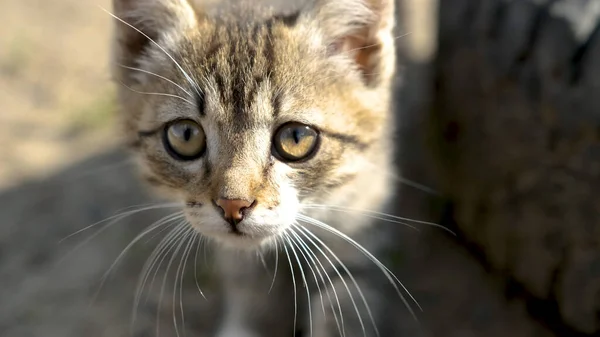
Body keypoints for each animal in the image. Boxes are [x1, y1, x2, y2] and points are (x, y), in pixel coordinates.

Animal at [110, 0, 406, 334]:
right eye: (185, 135)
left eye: (296, 137)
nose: (232, 205)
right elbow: (245, 276)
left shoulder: (361, 209)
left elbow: (347, 295)